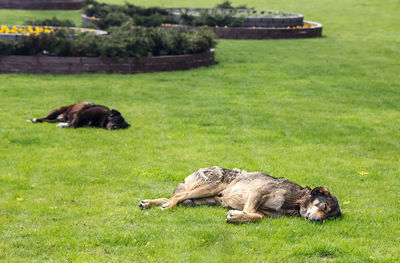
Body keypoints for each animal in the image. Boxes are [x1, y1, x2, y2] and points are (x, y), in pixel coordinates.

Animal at [139, 167, 342, 223]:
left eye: (329, 217)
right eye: (323, 206)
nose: (319, 221)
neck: (296, 201)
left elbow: (257, 215)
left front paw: (237, 216)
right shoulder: (257, 192)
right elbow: (255, 214)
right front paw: (237, 216)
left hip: (203, 199)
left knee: (178, 197)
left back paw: (148, 203)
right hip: (209, 187)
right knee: (177, 197)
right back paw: (166, 206)